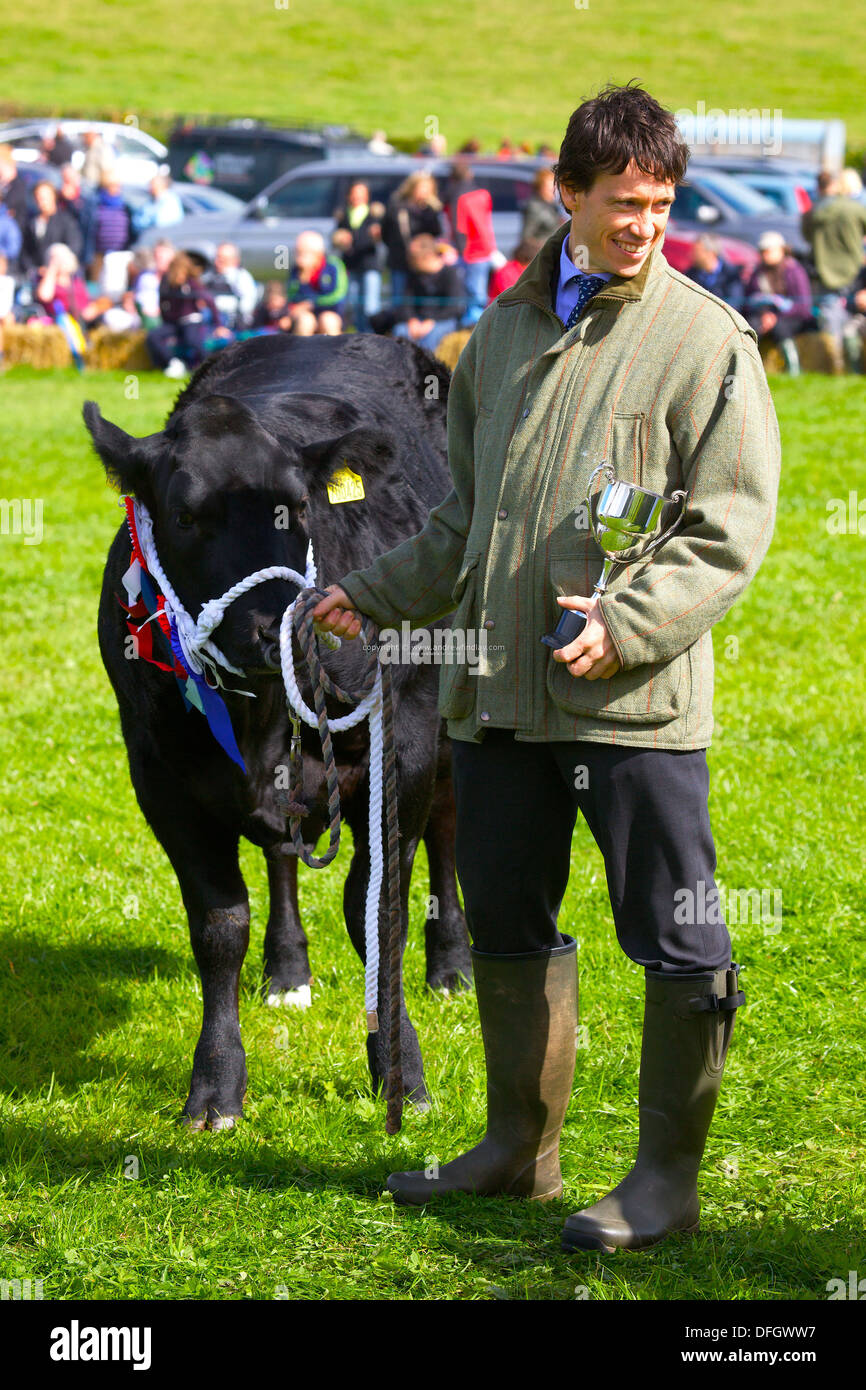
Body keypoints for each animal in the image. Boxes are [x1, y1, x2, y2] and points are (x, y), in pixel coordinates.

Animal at [84, 333, 469, 1128]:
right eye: (185, 515)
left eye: (297, 508)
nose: (275, 630)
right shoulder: (159, 774)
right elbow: (220, 923)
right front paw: (216, 1084)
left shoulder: (403, 747)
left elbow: (376, 909)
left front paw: (401, 1071)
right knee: (282, 853)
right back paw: (287, 969)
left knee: (447, 827)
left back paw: (451, 964)